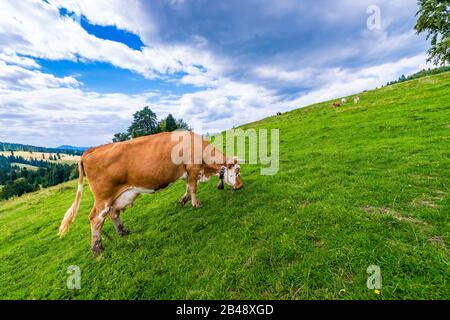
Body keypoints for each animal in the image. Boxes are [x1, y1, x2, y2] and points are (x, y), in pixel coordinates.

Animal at [59, 131, 244, 256]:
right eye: (237, 170)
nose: (241, 186)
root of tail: (90, 150)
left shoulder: (187, 173)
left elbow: (187, 188)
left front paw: (182, 201)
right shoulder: (192, 169)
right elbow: (193, 188)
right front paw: (195, 204)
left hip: (114, 197)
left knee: (112, 213)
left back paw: (123, 231)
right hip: (103, 197)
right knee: (95, 218)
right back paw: (97, 249)